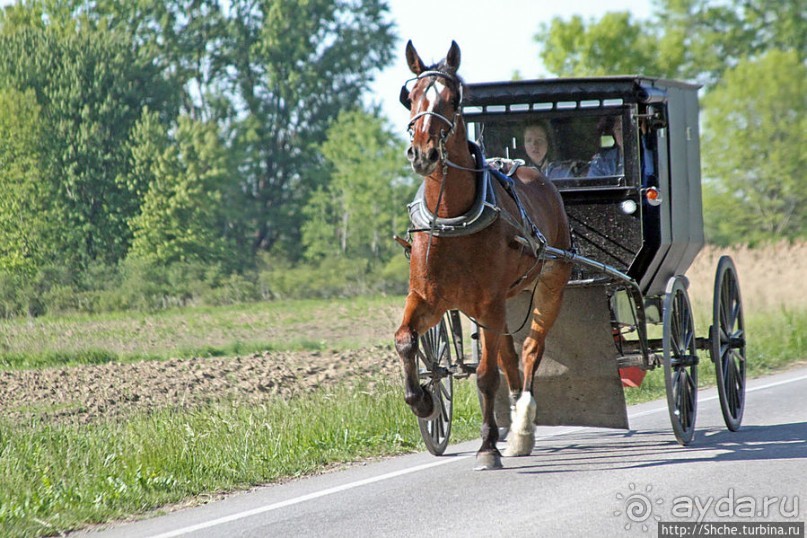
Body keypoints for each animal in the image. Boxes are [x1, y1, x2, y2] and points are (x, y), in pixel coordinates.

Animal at [392, 40, 572, 468]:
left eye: (453, 99)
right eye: (411, 96)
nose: (423, 153)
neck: (451, 219)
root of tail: (534, 173)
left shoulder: (488, 302)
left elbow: (487, 375)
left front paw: (488, 444)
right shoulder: (429, 298)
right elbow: (405, 340)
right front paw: (422, 400)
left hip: (550, 283)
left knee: (529, 351)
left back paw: (521, 426)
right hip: (503, 301)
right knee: (508, 354)